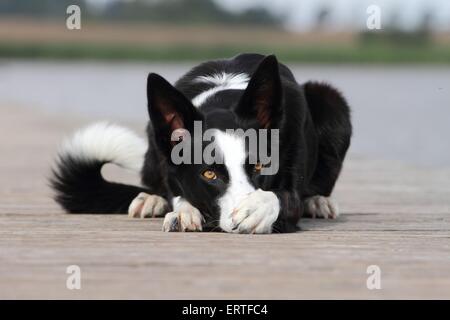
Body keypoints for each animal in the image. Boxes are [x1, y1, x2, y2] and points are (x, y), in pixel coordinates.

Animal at [50, 53, 352, 234]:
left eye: (259, 166)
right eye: (209, 174)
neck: (223, 100)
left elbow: (280, 196)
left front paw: (255, 208)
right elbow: (177, 193)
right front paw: (183, 212)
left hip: (330, 98)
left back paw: (318, 201)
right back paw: (151, 199)